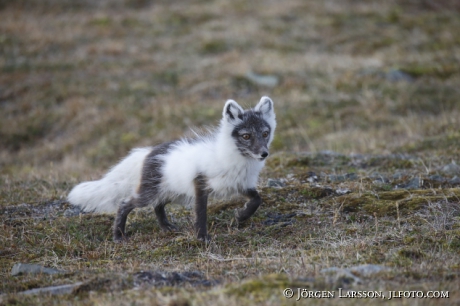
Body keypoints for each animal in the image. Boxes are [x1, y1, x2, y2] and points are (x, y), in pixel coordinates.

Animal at [67, 95, 276, 241]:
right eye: (246, 136)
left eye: (265, 133)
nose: (264, 153)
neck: (236, 159)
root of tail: (148, 152)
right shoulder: (200, 184)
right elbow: (201, 213)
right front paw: (202, 238)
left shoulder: (239, 184)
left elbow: (257, 199)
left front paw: (241, 216)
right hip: (151, 192)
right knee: (125, 204)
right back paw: (119, 236)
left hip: (173, 192)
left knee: (158, 206)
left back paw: (167, 227)